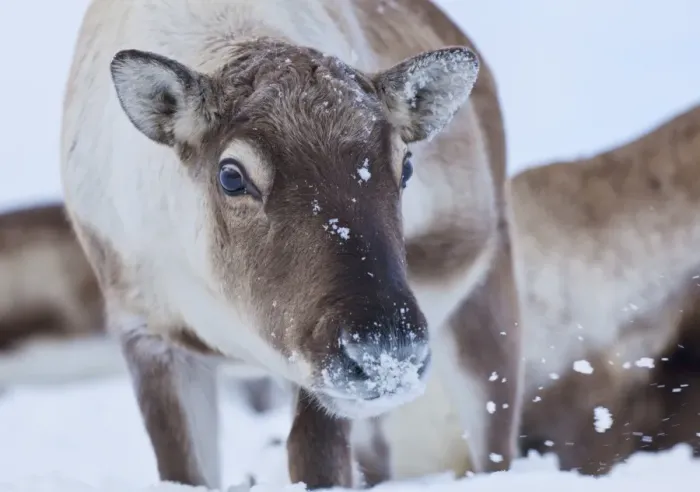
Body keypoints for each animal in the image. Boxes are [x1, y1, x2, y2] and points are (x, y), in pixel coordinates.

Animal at [60, 0, 522, 489]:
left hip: (484, 305)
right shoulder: (148, 330)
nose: (387, 349)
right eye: (231, 175)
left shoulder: (313, 371)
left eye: (407, 165)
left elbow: (315, 461)